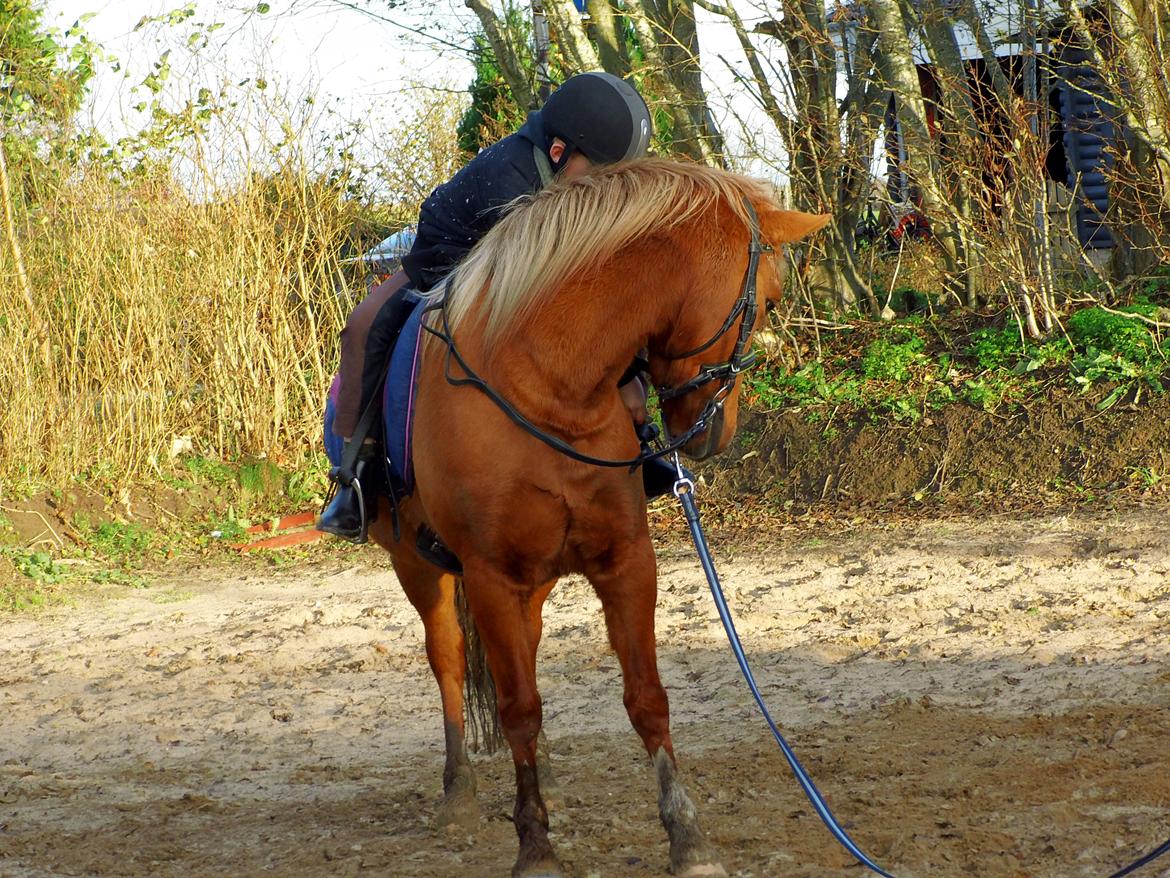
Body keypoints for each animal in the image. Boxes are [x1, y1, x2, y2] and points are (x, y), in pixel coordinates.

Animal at [365, 160, 833, 878]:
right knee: (450, 662)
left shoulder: (625, 560)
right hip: (419, 566)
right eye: (772, 300)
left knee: (524, 658)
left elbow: (645, 697)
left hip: (535, 581)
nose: (716, 433)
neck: (548, 385)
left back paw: (546, 778)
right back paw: (459, 790)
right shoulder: (490, 575)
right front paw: (535, 846)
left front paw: (687, 837)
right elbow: (517, 707)